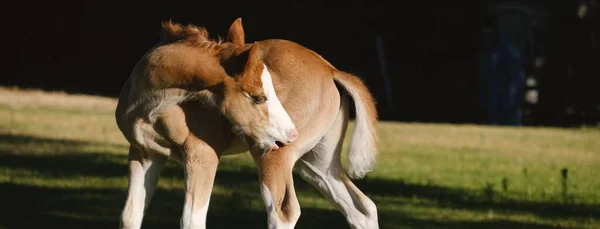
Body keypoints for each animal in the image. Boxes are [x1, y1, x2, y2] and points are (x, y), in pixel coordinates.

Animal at [116, 18, 380, 229]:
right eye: (259, 97)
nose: (292, 133)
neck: (152, 104)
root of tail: (330, 69)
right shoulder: (144, 153)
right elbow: (130, 216)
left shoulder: (202, 154)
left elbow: (192, 220)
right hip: (317, 163)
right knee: (362, 209)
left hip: (273, 155)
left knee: (283, 213)